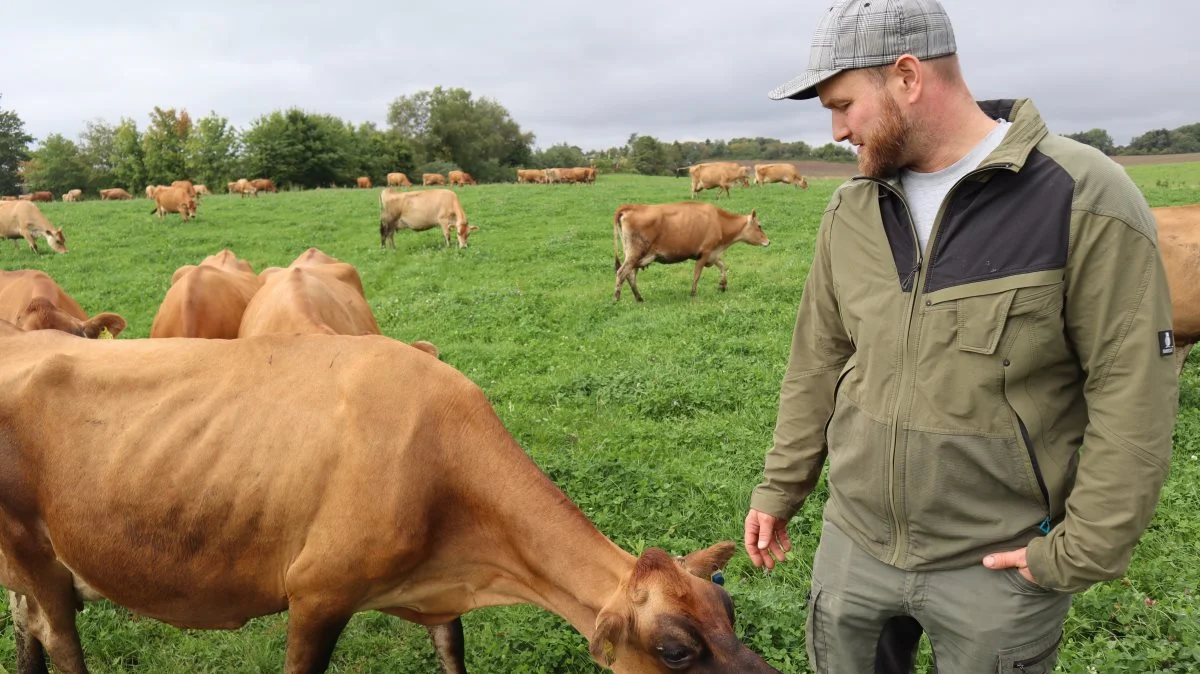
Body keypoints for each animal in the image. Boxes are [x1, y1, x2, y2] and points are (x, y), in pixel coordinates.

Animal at [0, 331, 777, 671]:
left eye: (729, 611)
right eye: (675, 651)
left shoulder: (441, 596)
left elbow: (453, 657)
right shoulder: (317, 593)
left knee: (26, 627)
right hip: (35, 550)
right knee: (59, 641)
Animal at [614, 200, 772, 299]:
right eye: (759, 226)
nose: (768, 242)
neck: (719, 221)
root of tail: (631, 207)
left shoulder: (713, 254)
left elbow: (723, 266)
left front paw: (722, 285)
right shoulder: (705, 253)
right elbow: (697, 274)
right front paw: (693, 293)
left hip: (635, 256)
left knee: (630, 275)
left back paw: (639, 297)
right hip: (635, 253)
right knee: (622, 273)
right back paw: (616, 299)